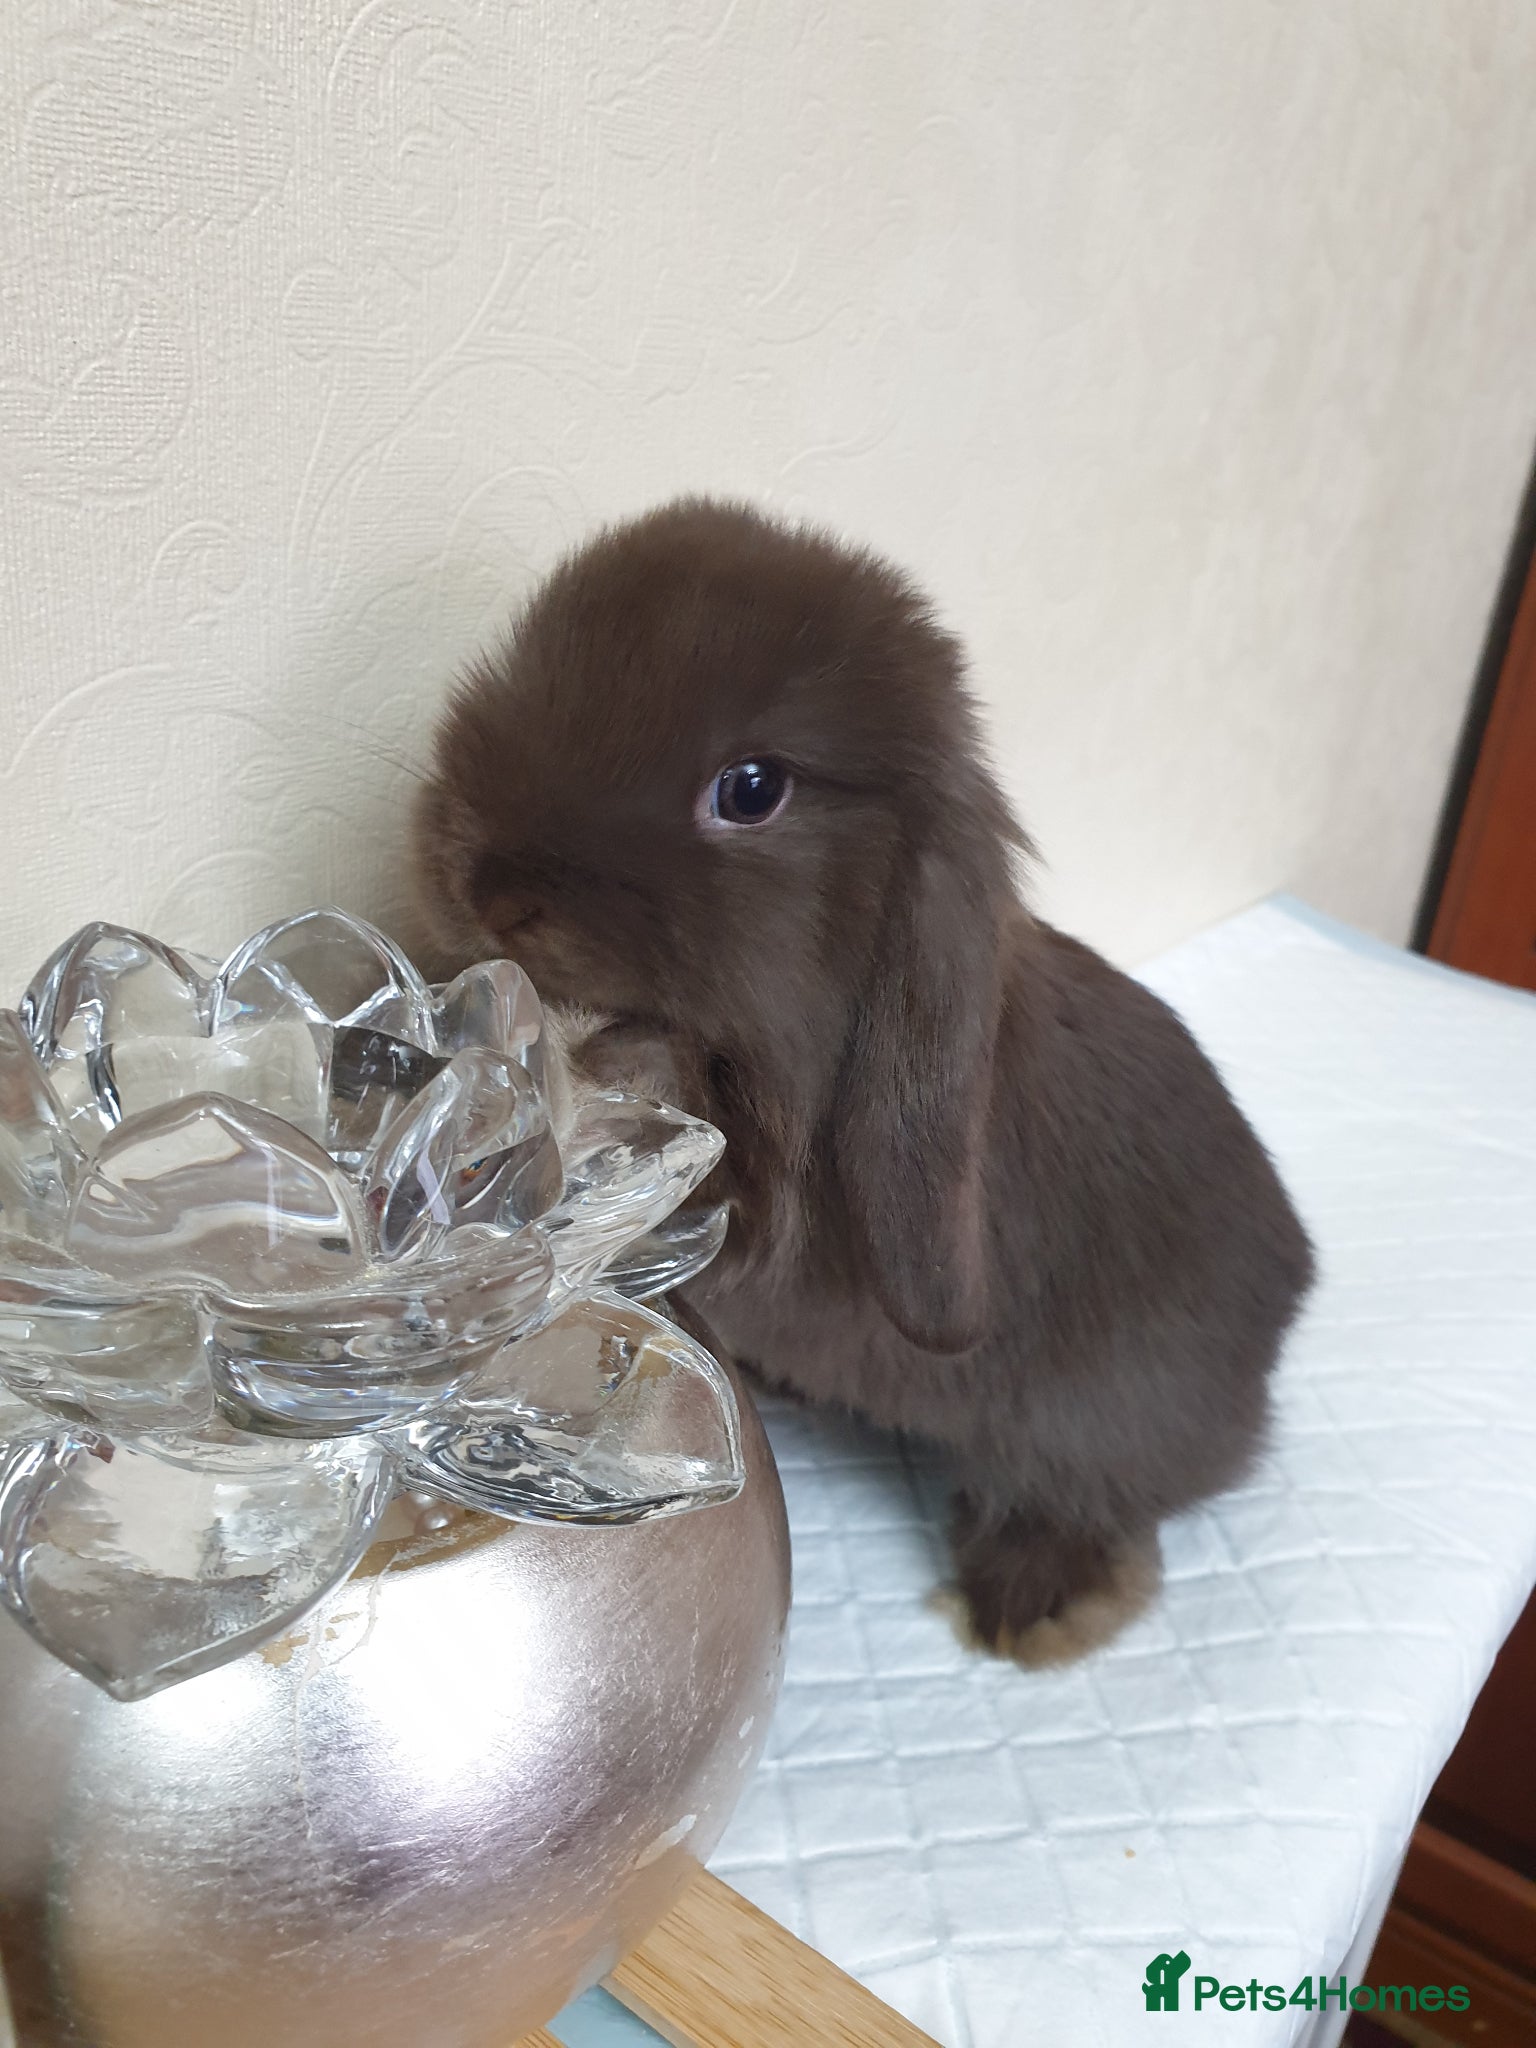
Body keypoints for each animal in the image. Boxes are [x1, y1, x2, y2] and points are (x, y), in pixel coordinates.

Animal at [412, 497, 1315, 1665]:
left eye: (751, 790)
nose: (489, 885)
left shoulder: (763, 1188)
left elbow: (667, 1100)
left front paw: (557, 1063)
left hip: (1097, 1420)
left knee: (1092, 1503)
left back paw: (1030, 1604)